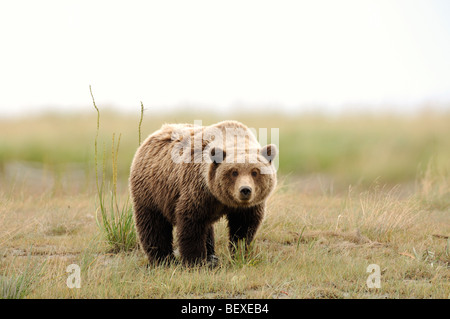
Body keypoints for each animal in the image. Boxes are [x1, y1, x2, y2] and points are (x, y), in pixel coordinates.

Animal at [129, 121, 278, 266]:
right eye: (234, 172)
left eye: (255, 172)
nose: (245, 190)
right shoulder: (198, 191)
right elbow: (191, 223)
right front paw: (195, 261)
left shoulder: (246, 207)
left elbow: (243, 227)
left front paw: (239, 253)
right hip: (151, 192)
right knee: (153, 225)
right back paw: (163, 259)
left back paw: (212, 256)